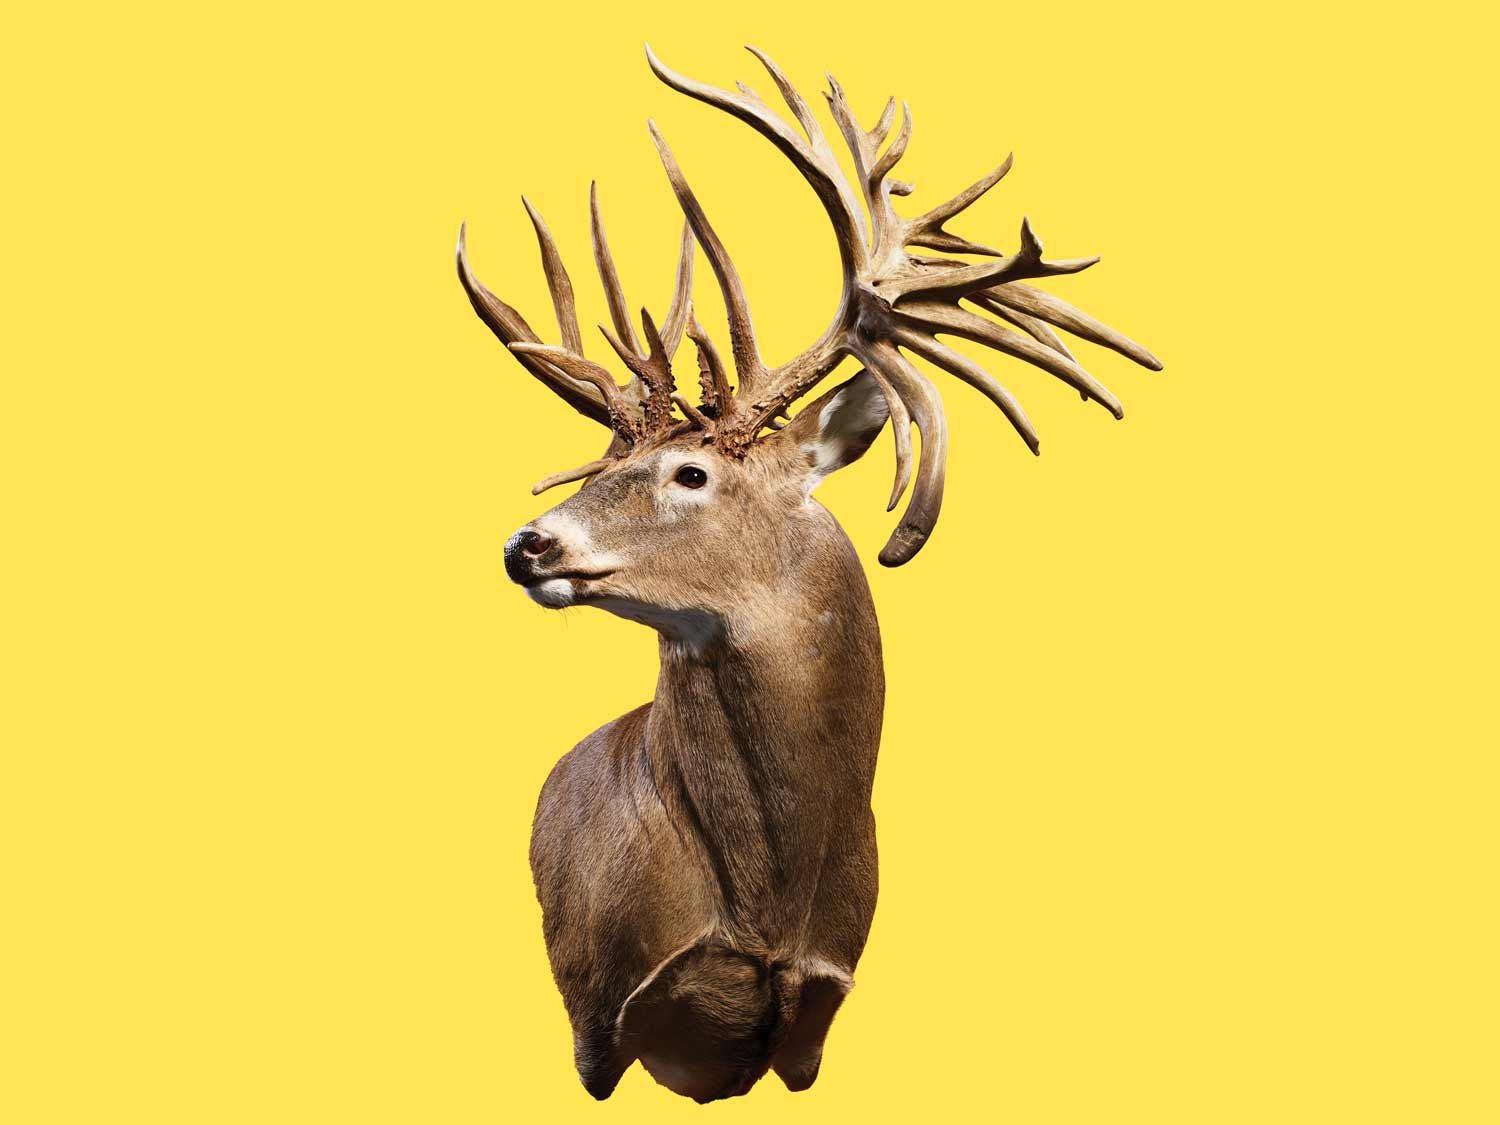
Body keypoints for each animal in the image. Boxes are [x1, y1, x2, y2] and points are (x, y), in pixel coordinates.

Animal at [456, 45, 1160, 1103]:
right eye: (605, 463)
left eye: (690, 471)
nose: (526, 543)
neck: (769, 909)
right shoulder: (593, 1013)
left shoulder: (822, 1007)